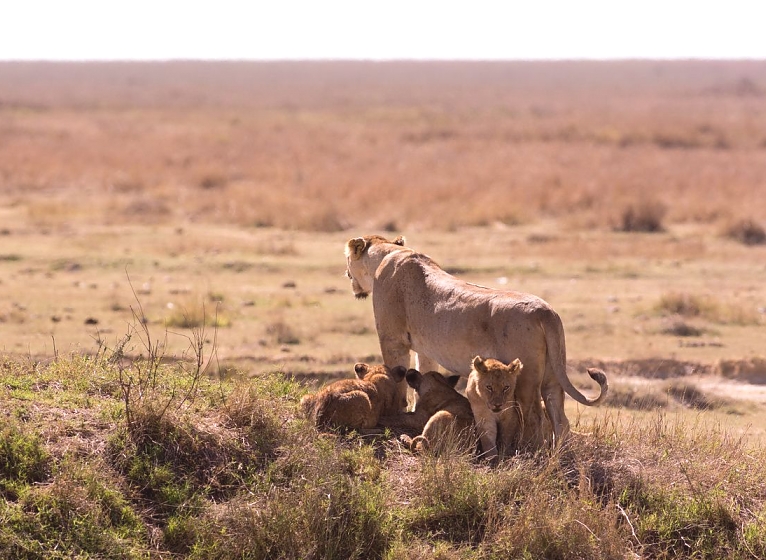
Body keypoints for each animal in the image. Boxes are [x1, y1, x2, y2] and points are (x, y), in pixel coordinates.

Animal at [344, 234, 608, 450]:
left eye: (348, 261)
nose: (347, 276)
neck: (388, 253)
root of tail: (546, 312)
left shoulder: (393, 340)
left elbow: (396, 379)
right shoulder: (425, 349)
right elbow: (423, 374)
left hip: (526, 377)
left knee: (533, 415)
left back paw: (528, 452)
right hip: (553, 375)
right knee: (560, 418)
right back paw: (560, 457)